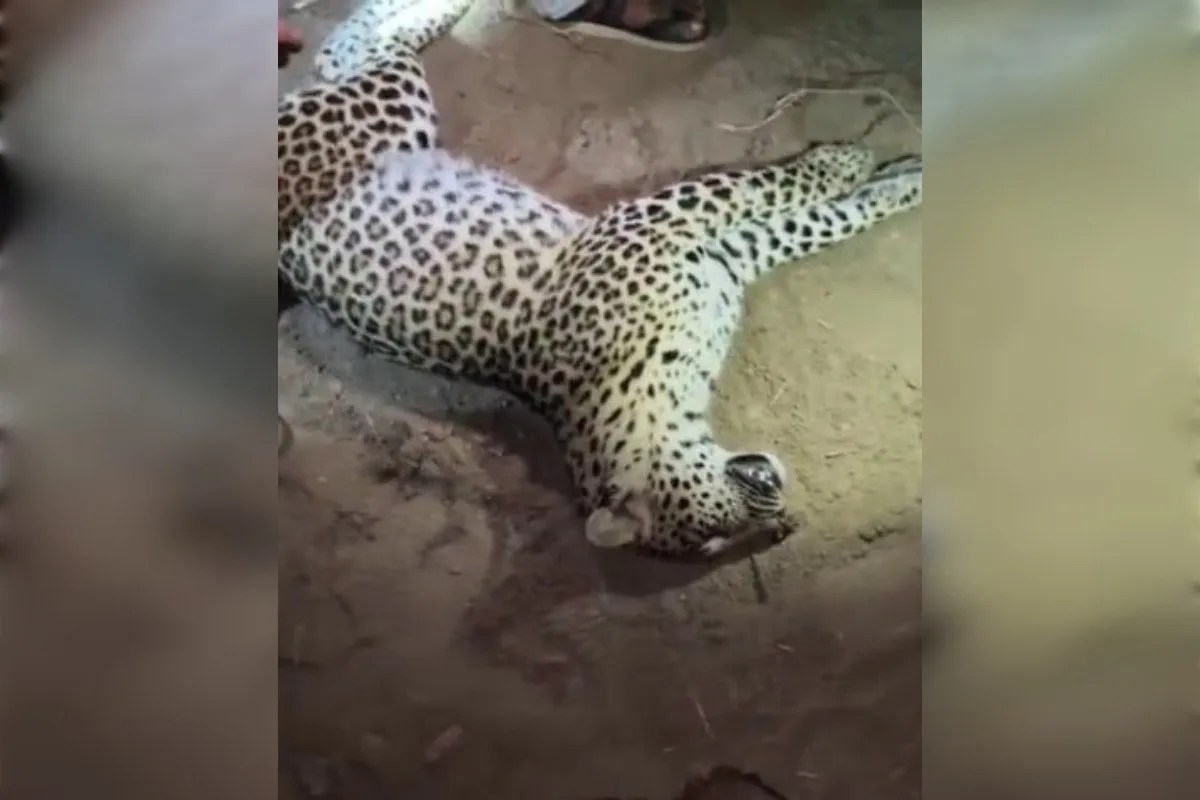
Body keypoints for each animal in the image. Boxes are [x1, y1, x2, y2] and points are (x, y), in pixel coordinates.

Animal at [278, 0, 922, 558]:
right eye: (719, 529)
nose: (775, 489)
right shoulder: (685, 230)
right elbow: (784, 198)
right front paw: (863, 166)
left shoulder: (708, 243)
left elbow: (810, 211)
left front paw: (888, 174)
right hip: (387, 110)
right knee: (359, 52)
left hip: (391, 108)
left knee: (348, 49)